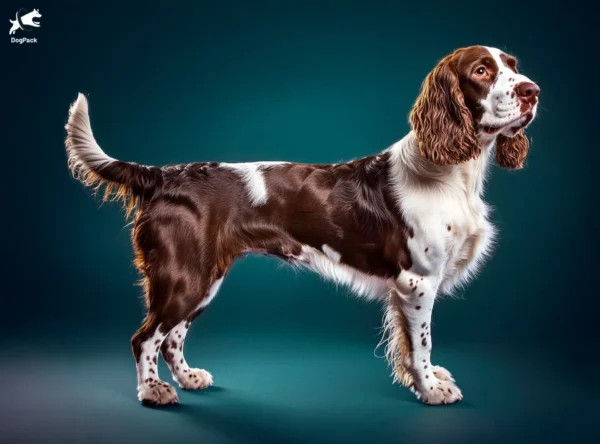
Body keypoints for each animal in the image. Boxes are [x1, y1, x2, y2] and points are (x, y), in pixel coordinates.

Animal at [64, 46, 540, 406]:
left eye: (513, 65)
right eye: (481, 70)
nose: (532, 91)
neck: (452, 172)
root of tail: (165, 175)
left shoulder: (410, 287)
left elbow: (410, 345)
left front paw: (428, 379)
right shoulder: (417, 281)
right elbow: (421, 342)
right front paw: (432, 389)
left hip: (205, 275)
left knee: (172, 336)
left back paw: (188, 378)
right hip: (184, 275)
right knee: (145, 337)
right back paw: (153, 391)